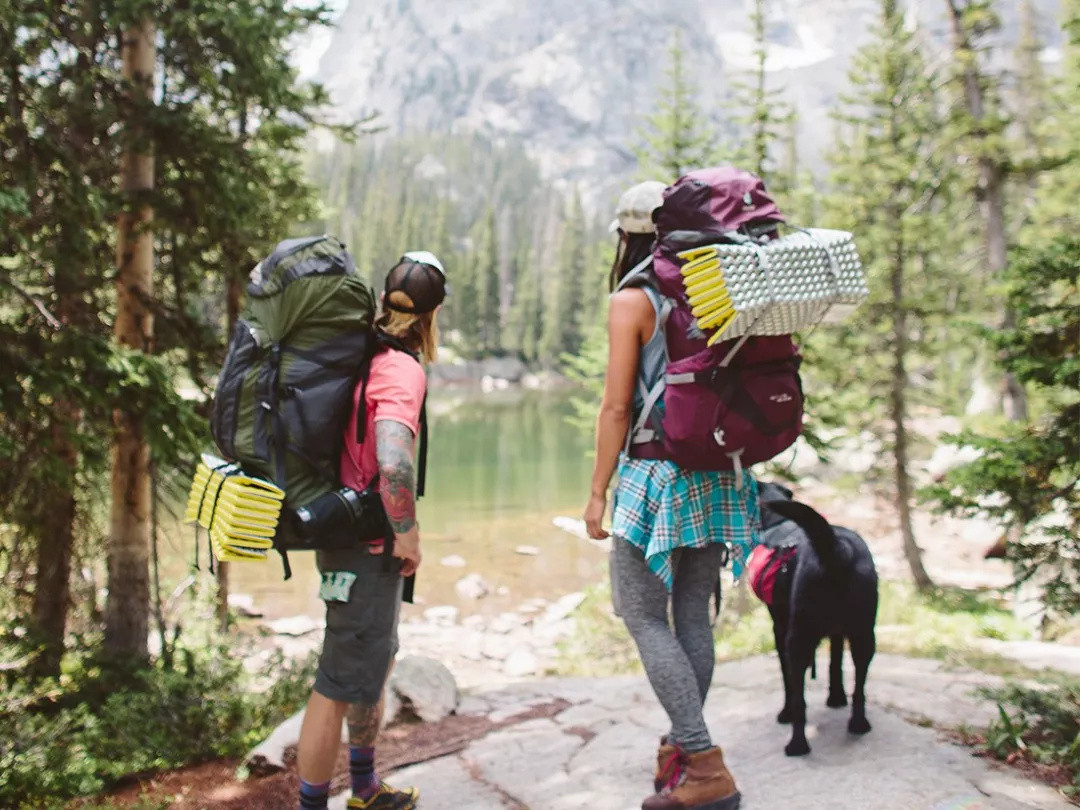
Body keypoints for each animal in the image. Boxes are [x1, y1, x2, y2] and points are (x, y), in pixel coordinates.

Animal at [756, 486, 881, 760]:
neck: (779, 525)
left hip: (797, 639)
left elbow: (787, 681)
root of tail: (836, 548)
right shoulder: (838, 632)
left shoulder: (779, 629)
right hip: (864, 633)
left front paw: (784, 714)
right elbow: (836, 662)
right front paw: (836, 697)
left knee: (799, 699)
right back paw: (858, 724)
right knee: (860, 686)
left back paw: (797, 745)